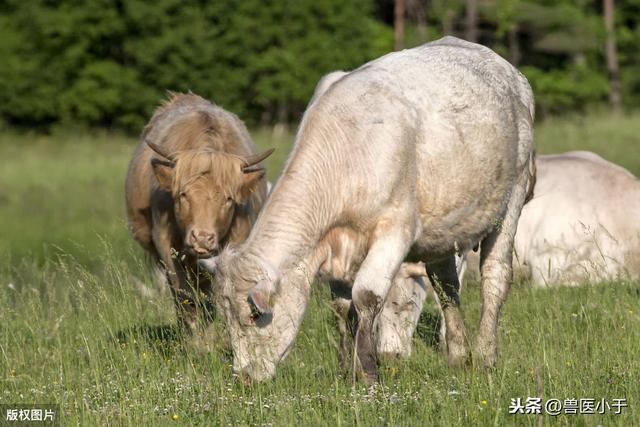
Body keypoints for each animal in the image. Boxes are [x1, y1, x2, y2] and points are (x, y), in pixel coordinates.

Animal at [125, 93, 272, 334]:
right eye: (183, 195)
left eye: (228, 199)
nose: (202, 238)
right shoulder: (165, 245)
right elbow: (183, 295)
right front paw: (195, 336)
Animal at [205, 36, 536, 382]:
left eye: (254, 316)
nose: (243, 377)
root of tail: (507, 69)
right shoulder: (336, 246)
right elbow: (342, 306)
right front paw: (346, 367)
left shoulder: (395, 232)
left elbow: (365, 296)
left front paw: (368, 372)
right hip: (444, 225)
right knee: (445, 284)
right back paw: (459, 354)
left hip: (513, 196)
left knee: (495, 275)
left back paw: (485, 354)